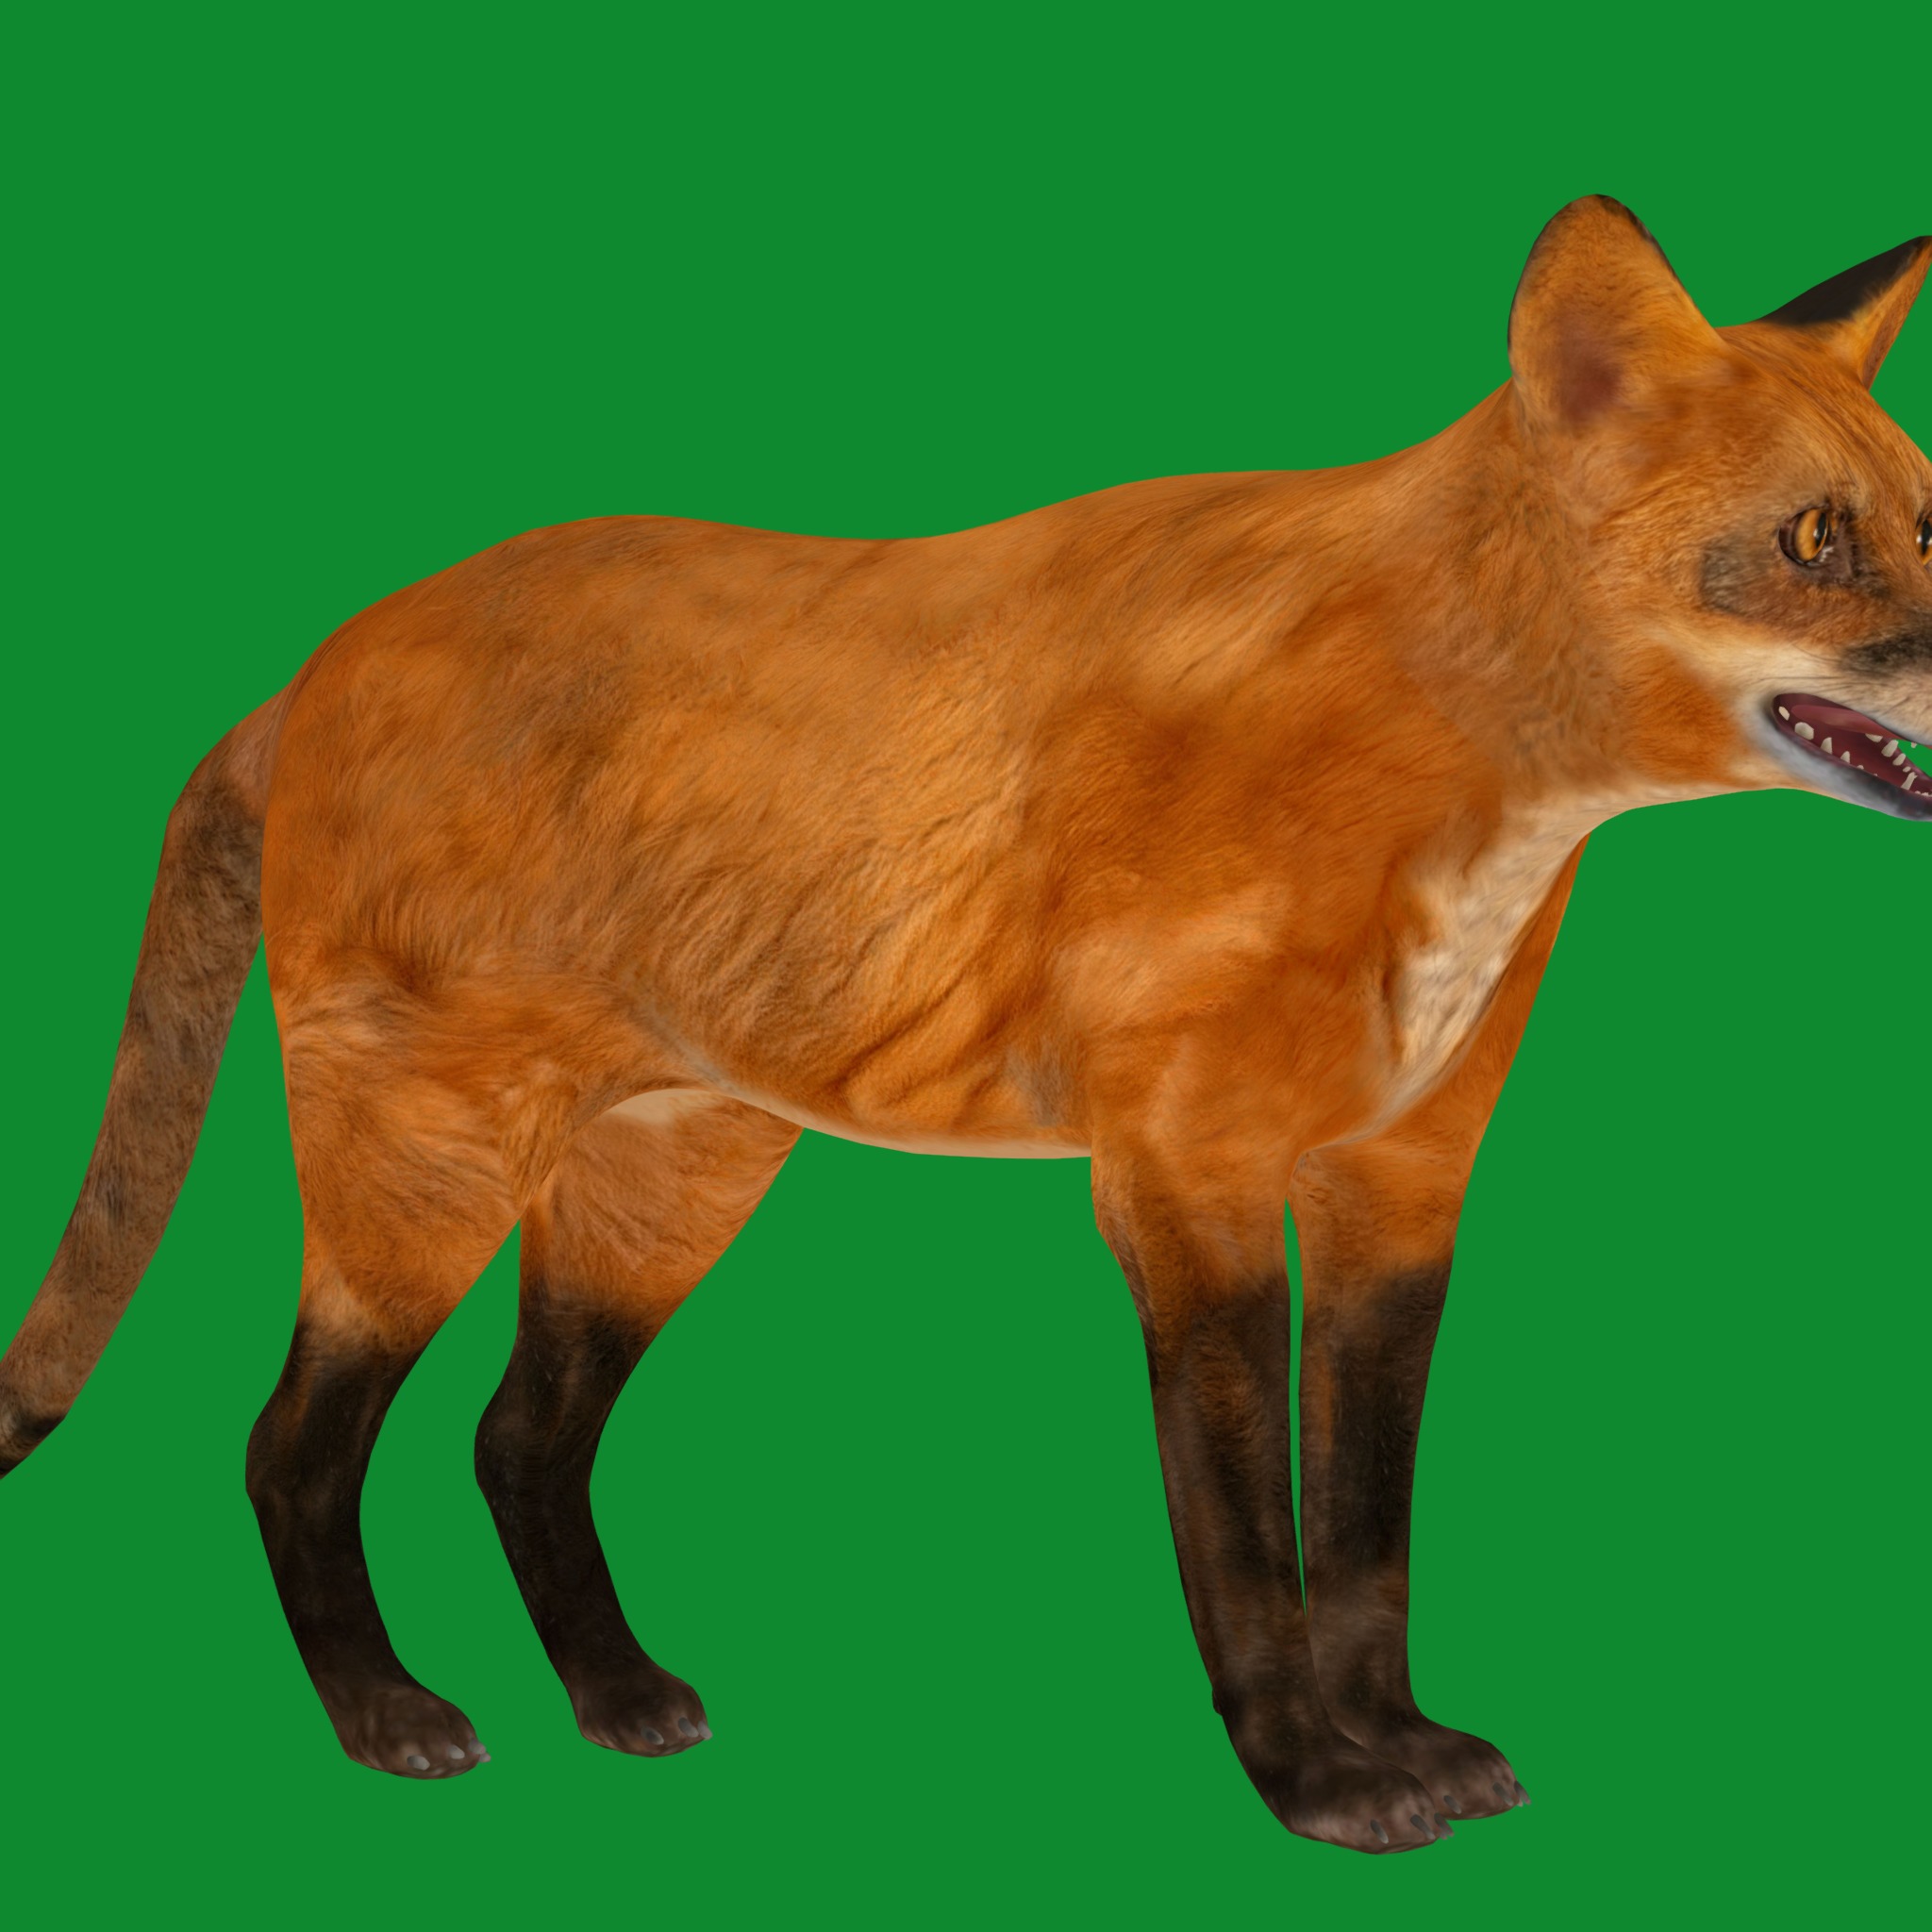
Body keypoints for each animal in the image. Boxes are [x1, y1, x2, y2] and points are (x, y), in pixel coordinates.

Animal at [2, 195, 1927, 1854]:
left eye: (1924, 524)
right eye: (1811, 541)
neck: (1461, 800)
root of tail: (310, 659)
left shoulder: (1397, 1187)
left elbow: (1368, 1536)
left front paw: (1396, 1741)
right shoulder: (1184, 1178)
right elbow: (1249, 1543)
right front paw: (1316, 1782)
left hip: (667, 1190)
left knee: (517, 1440)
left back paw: (614, 1695)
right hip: (428, 1177)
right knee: (286, 1448)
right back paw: (384, 1716)